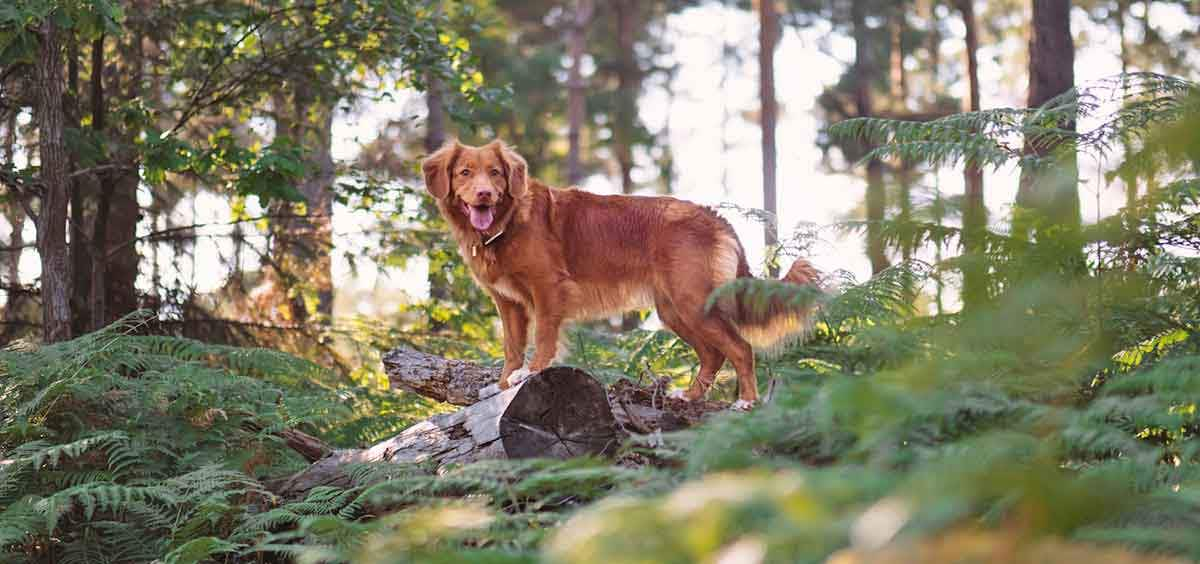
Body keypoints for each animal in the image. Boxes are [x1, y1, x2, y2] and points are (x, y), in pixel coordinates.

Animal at [420, 139, 816, 408]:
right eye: (465, 173)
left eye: (496, 173)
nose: (484, 194)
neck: (507, 222)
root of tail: (714, 216)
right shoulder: (508, 302)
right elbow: (511, 346)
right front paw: (504, 384)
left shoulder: (548, 288)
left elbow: (544, 337)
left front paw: (533, 372)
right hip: (674, 310)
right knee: (713, 354)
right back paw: (689, 396)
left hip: (692, 301)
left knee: (740, 348)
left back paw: (746, 402)